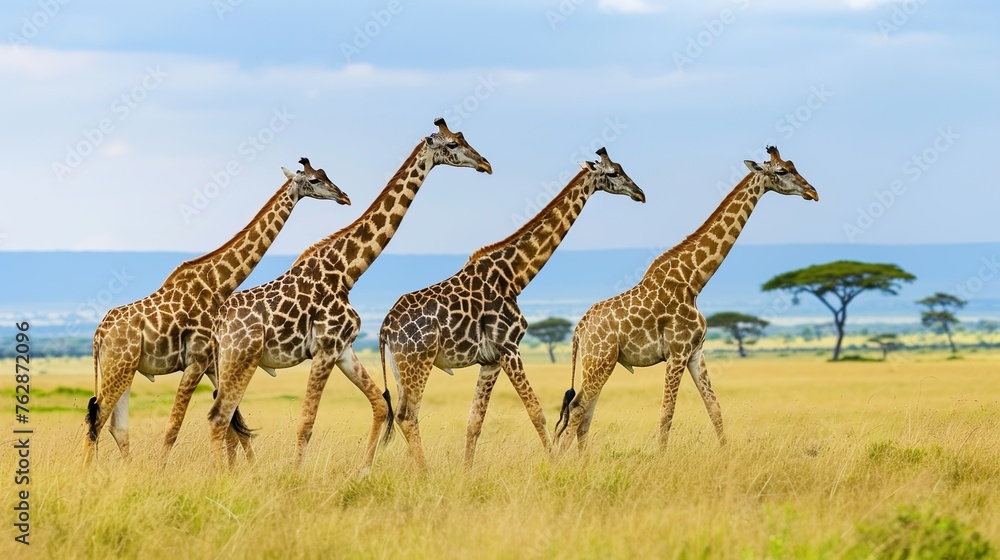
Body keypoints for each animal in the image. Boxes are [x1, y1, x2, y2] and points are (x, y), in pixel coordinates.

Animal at [84, 158, 351, 466]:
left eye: (325, 174)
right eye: (314, 180)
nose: (344, 197)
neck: (218, 284)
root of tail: (99, 333)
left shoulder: (213, 363)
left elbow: (236, 423)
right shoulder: (198, 360)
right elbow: (177, 425)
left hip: (123, 368)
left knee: (116, 426)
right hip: (119, 366)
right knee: (97, 419)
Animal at [206, 118, 492, 470]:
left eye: (463, 138)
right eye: (452, 144)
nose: (485, 164)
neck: (347, 272)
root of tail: (219, 323)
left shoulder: (343, 349)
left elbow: (380, 405)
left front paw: (364, 470)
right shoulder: (325, 348)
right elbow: (306, 422)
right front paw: (295, 475)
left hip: (229, 362)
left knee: (227, 418)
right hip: (240, 357)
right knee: (219, 417)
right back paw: (221, 475)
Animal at [380, 148, 646, 469]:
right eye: (613, 173)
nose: (640, 193)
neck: (514, 277)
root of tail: (385, 328)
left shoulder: (491, 360)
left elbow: (474, 421)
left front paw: (467, 472)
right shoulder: (509, 347)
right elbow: (537, 412)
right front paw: (554, 464)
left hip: (400, 368)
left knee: (403, 415)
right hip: (418, 361)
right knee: (408, 416)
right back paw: (425, 472)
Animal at [553, 146, 819, 452]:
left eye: (792, 165)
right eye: (781, 171)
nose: (812, 192)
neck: (694, 281)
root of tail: (578, 330)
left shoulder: (695, 353)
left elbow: (714, 408)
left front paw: (726, 456)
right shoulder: (677, 352)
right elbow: (667, 413)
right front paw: (660, 458)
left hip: (598, 363)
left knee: (583, 411)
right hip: (600, 359)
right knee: (577, 409)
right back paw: (559, 460)